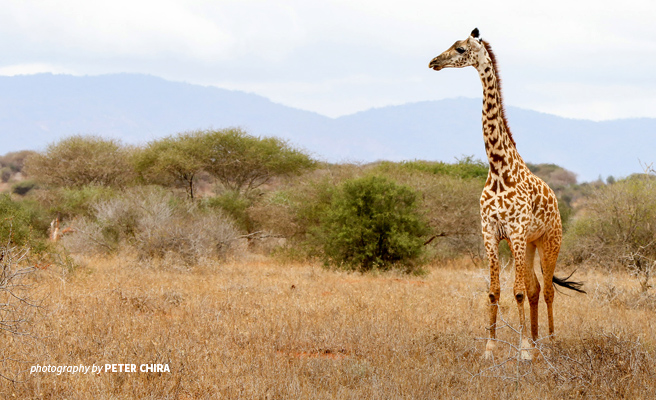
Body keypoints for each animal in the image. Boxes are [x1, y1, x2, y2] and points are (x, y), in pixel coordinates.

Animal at [428, 28, 588, 360]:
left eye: (460, 48)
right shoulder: (490, 232)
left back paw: (550, 342)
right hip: (528, 245)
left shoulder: (514, 231)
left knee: (547, 289)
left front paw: (523, 351)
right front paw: (491, 348)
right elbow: (495, 291)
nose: (434, 61)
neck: (499, 169)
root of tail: (556, 201)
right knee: (536, 288)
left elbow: (516, 292)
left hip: (549, 241)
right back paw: (538, 340)